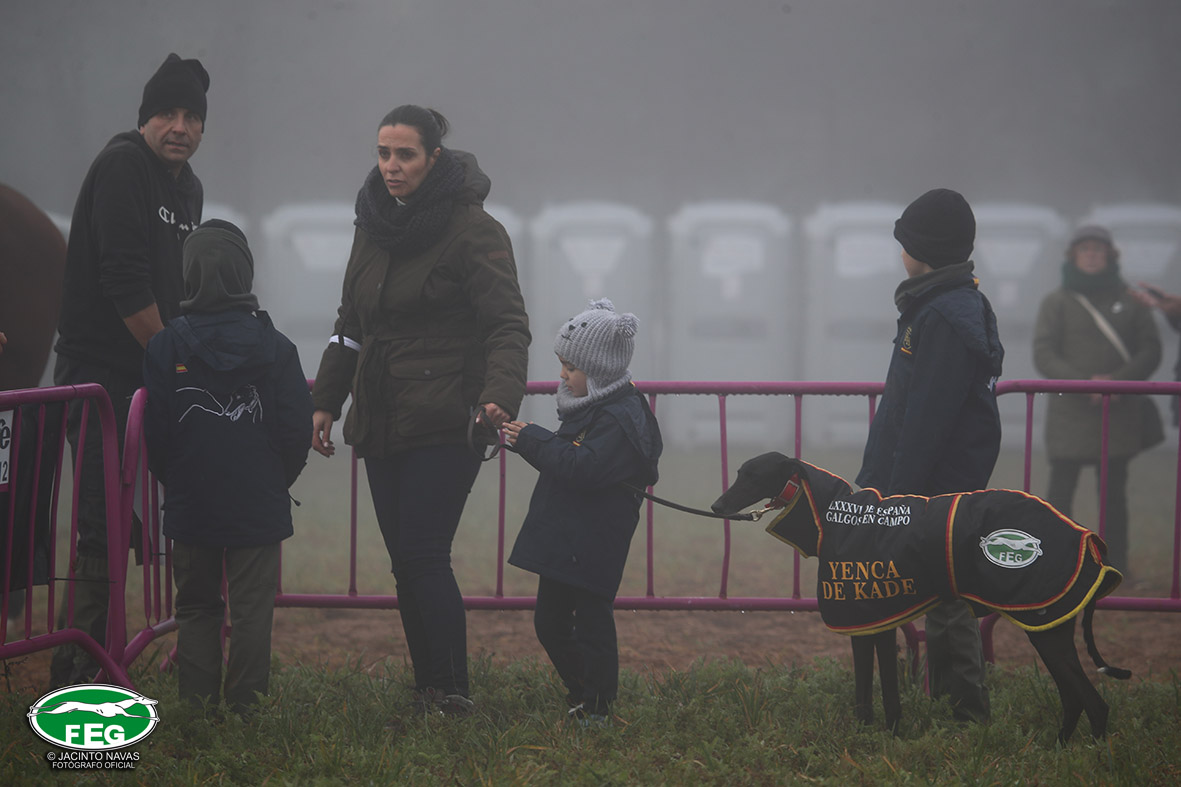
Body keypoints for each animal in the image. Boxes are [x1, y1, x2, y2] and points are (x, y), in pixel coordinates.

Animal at [711, 452, 1130, 741]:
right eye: (739, 472)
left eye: (753, 475)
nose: (716, 506)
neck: (834, 515)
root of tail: (1088, 540)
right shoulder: (874, 623)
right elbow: (874, 690)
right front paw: (873, 734)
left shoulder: (871, 620)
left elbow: (879, 690)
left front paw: (882, 737)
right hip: (1050, 627)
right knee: (1077, 699)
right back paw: (1059, 746)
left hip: (1044, 626)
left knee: (1094, 702)